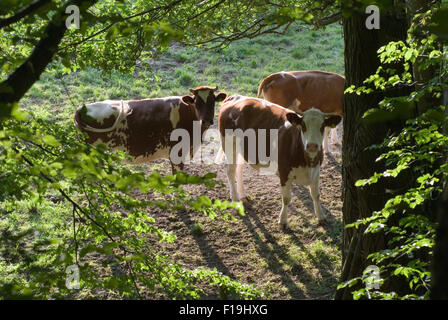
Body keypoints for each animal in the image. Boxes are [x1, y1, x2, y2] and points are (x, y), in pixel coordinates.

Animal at [219, 94, 342, 229]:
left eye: (322, 126)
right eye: (303, 125)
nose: (312, 146)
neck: (307, 161)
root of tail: (235, 97)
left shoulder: (316, 169)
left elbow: (316, 195)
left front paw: (321, 216)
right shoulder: (284, 172)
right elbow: (286, 198)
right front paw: (283, 221)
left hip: (241, 149)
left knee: (239, 169)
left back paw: (242, 195)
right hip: (229, 145)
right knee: (230, 171)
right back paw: (235, 198)